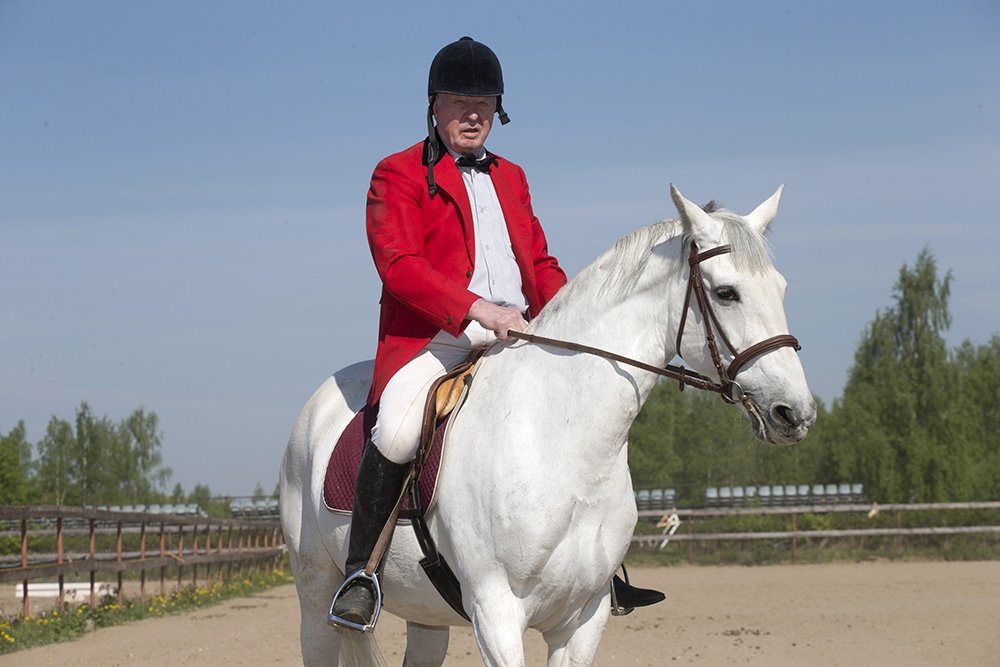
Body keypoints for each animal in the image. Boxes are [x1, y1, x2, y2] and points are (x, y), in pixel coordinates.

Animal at [278, 185, 816, 664]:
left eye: (783, 288)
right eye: (726, 293)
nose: (795, 413)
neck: (564, 446)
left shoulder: (584, 618)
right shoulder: (495, 614)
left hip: (425, 616)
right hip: (315, 601)